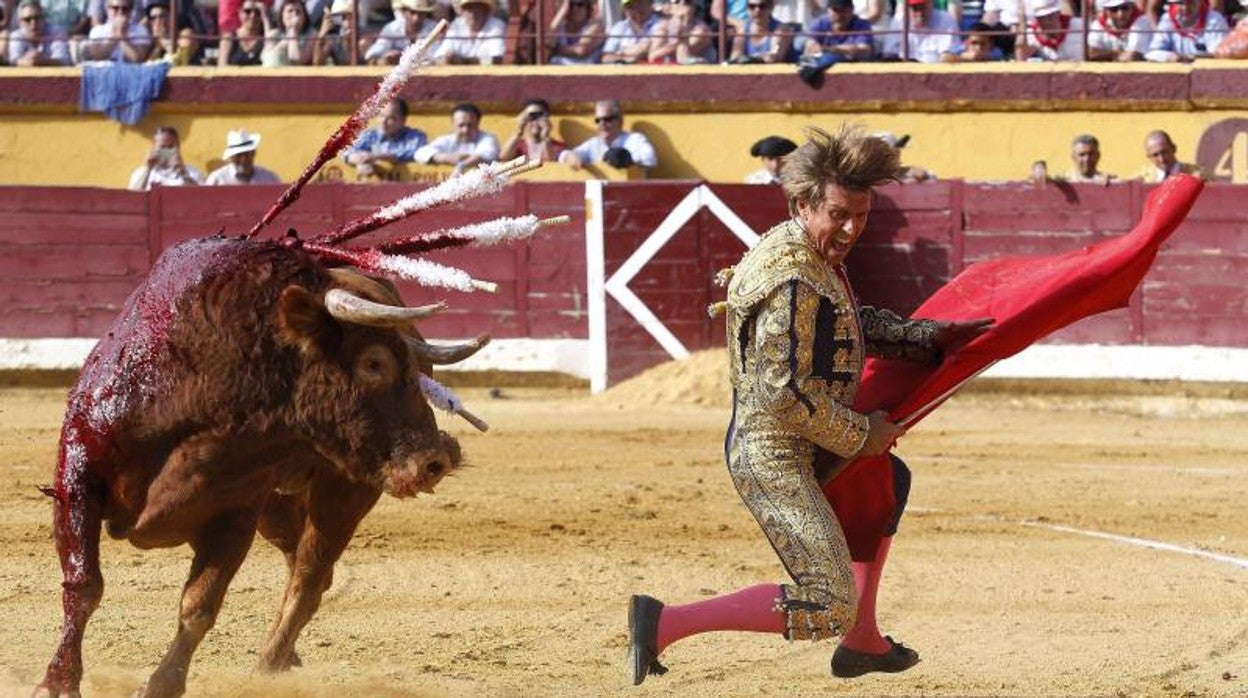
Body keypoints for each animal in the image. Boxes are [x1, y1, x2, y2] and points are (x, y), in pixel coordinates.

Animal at [32, 235, 481, 698]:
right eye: (374, 363)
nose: (434, 461)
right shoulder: (79, 471)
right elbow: (84, 584)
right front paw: (58, 683)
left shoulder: (236, 512)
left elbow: (199, 606)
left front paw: (160, 685)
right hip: (281, 507)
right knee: (301, 559)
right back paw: (286, 658)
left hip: (346, 490)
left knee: (309, 576)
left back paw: (268, 665)